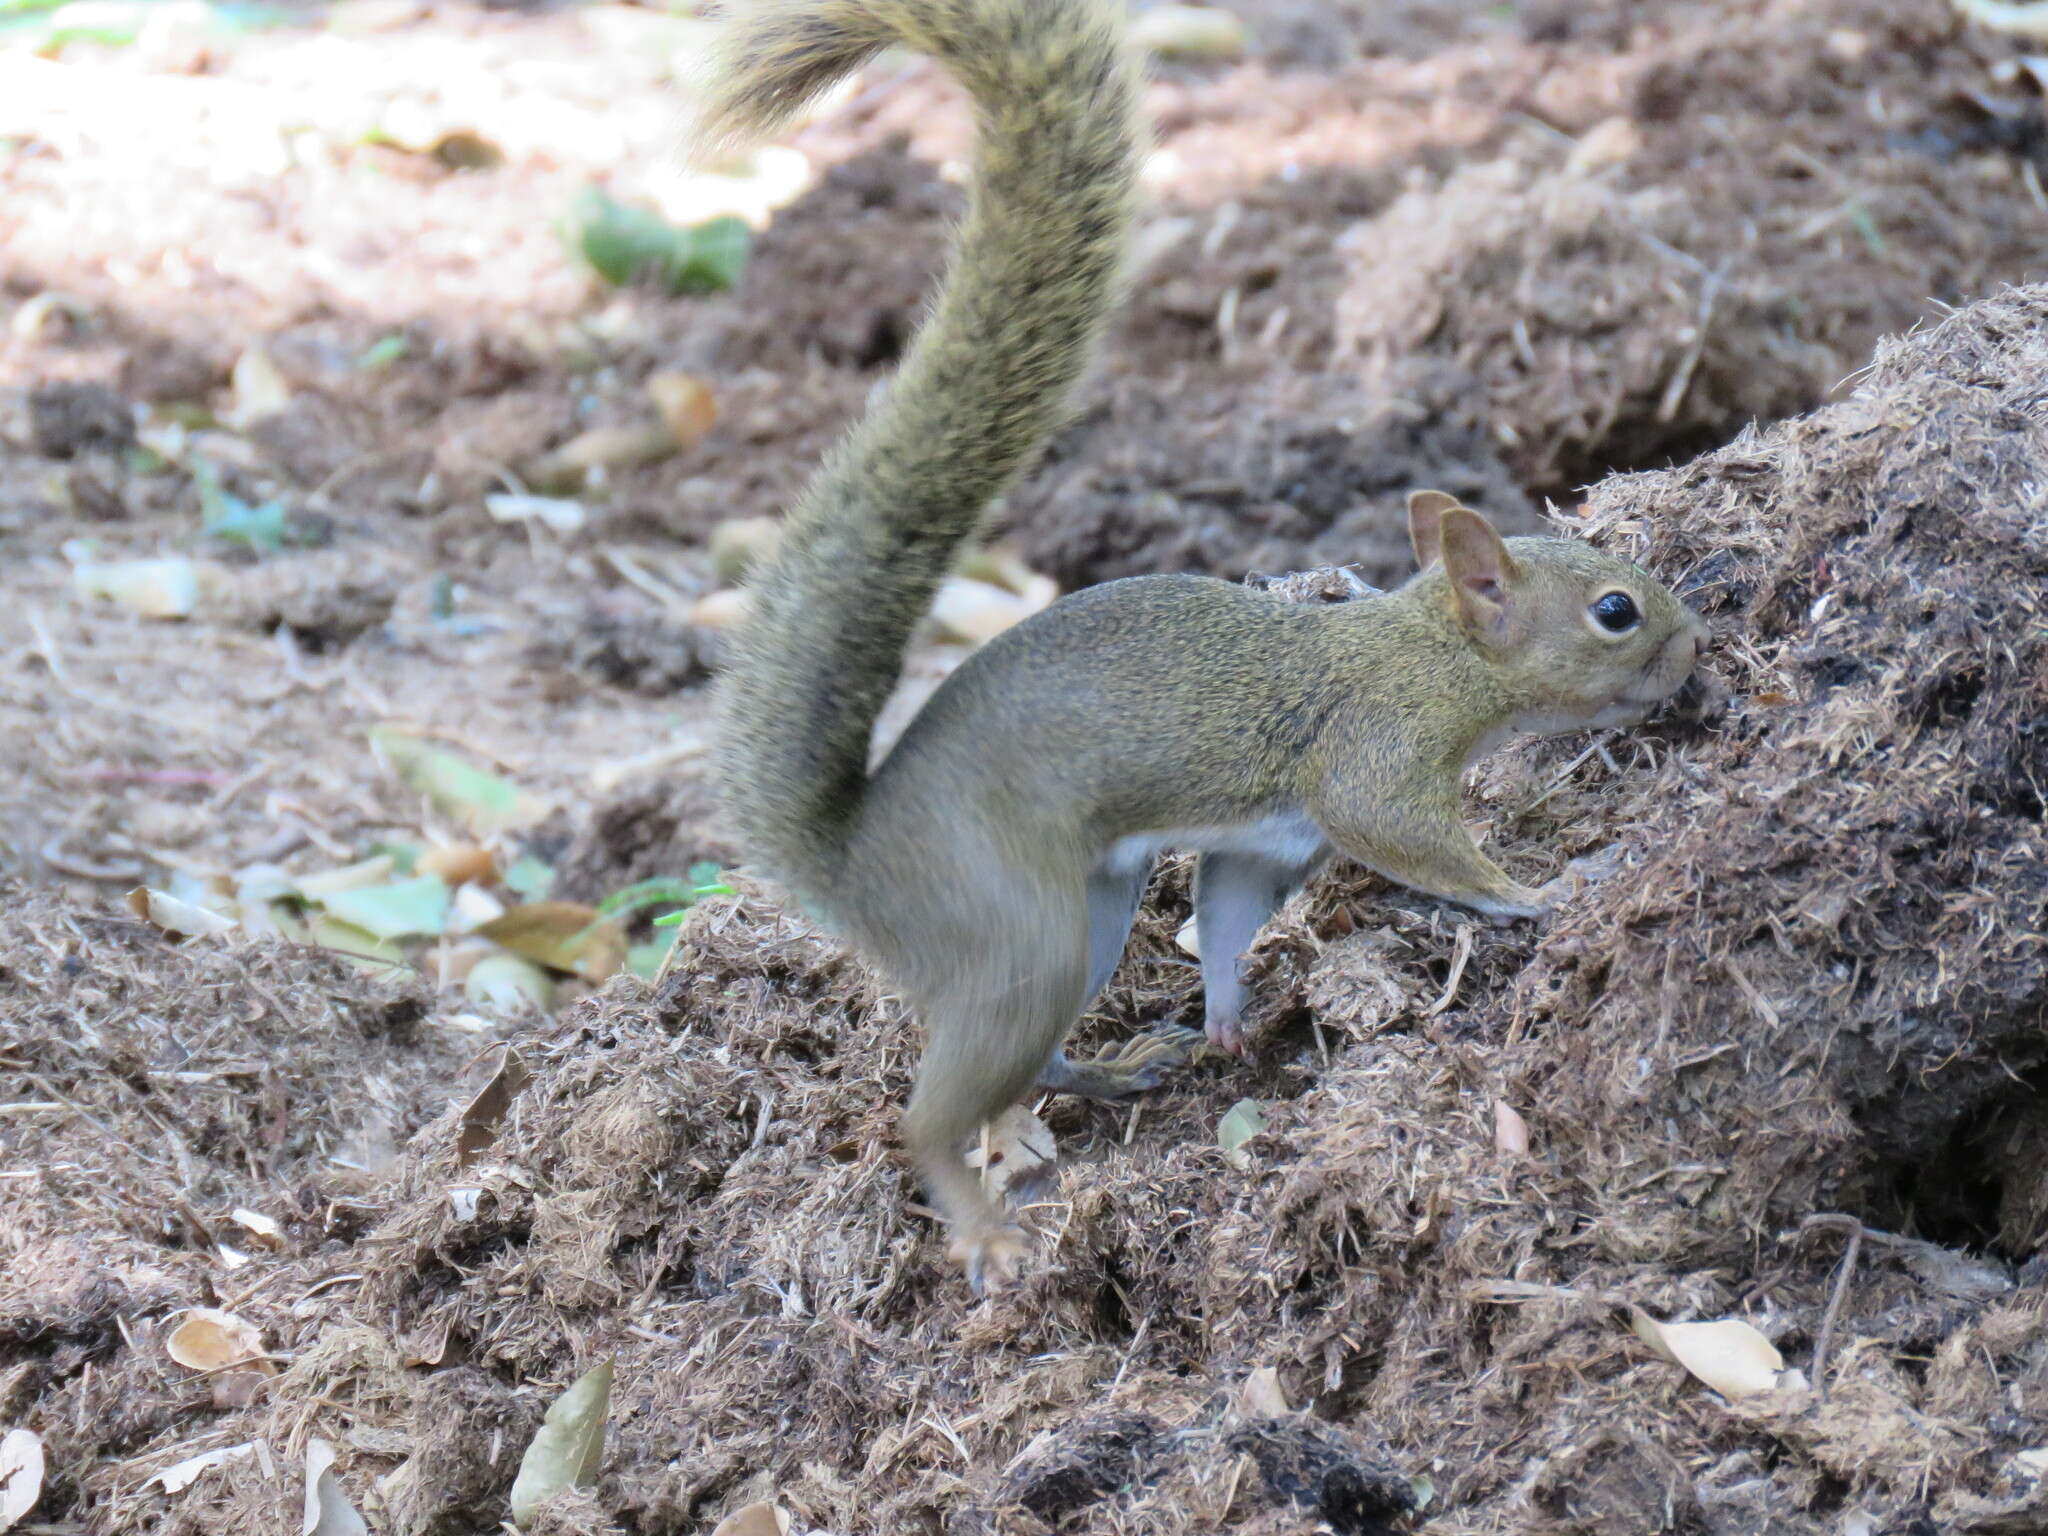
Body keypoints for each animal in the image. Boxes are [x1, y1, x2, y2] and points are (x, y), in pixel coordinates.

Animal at [704, 0, 1712, 1294]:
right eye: (1613, 611)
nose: (1694, 647)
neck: (1427, 653)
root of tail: (849, 863)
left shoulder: (1264, 845)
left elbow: (1228, 918)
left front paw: (1231, 1016)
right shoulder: (1369, 763)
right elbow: (1428, 847)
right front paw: (1542, 893)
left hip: (1083, 922)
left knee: (1020, 1070)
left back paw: (1116, 1071)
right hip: (1013, 928)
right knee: (928, 1116)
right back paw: (985, 1229)